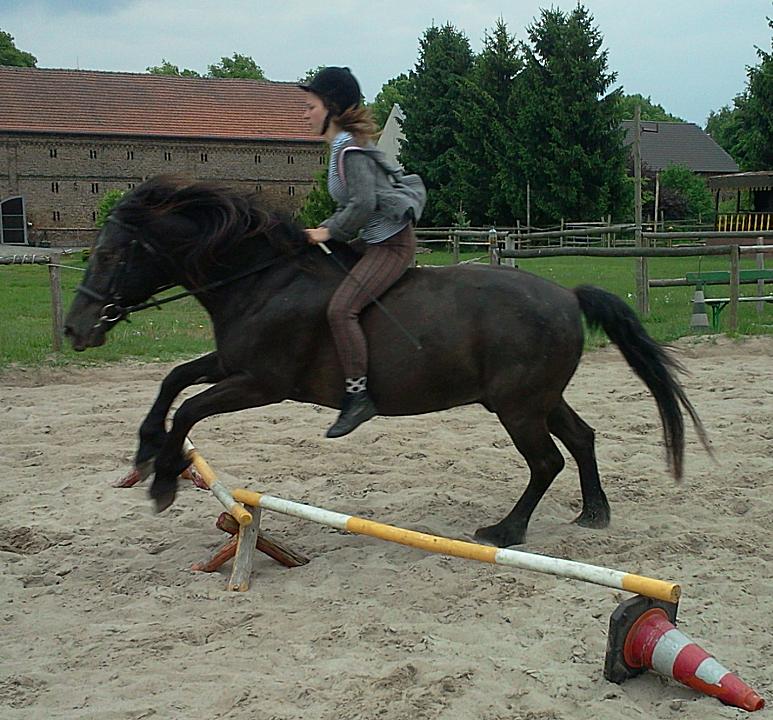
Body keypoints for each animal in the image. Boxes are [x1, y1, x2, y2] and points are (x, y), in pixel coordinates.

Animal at [66, 177, 704, 548]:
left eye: (109, 255)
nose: (75, 329)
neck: (263, 280)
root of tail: (568, 295)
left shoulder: (260, 383)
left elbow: (189, 411)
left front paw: (163, 480)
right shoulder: (230, 362)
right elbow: (173, 382)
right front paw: (146, 452)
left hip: (517, 407)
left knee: (547, 460)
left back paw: (507, 531)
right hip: (538, 398)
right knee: (581, 437)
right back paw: (594, 513)